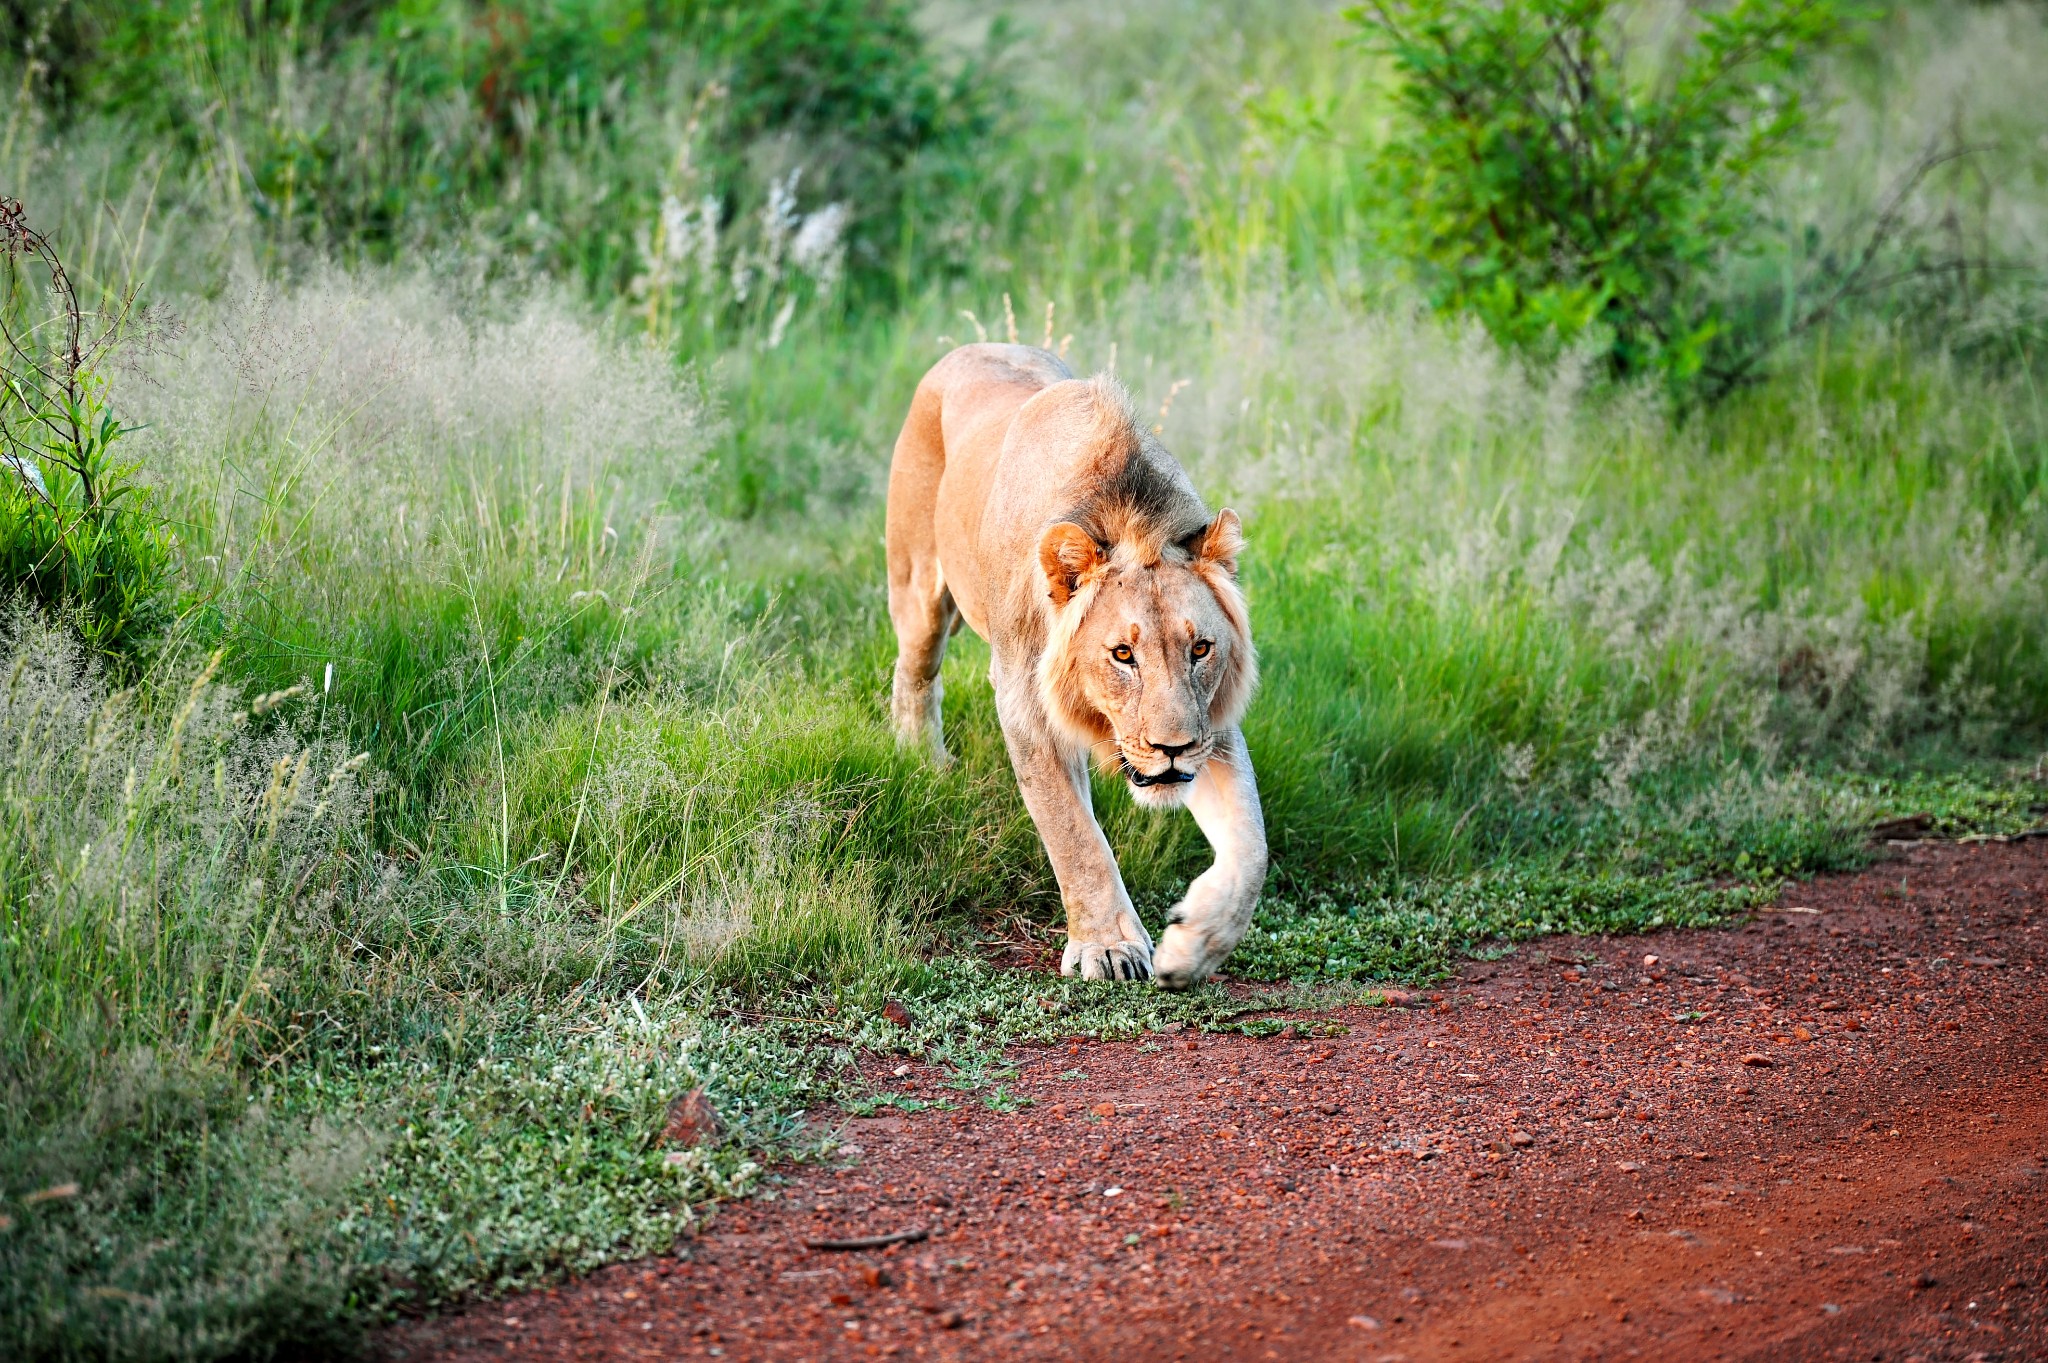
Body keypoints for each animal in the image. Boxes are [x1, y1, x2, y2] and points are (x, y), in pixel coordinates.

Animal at [884, 337, 1261, 978]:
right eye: (1122, 654)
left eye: (1200, 649)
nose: (1172, 749)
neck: (1128, 515)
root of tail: (971, 346)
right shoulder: (1024, 703)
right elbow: (1074, 835)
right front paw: (1108, 947)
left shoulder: (1210, 722)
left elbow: (1252, 847)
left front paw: (1196, 946)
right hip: (917, 586)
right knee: (915, 673)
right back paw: (924, 761)